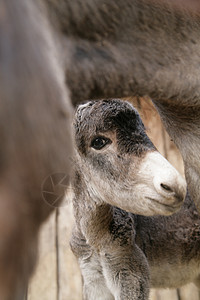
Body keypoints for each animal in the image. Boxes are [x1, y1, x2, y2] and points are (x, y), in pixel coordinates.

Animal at [70, 100, 192, 300]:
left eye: (144, 132)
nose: (176, 186)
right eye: (98, 142)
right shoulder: (92, 277)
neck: (96, 240)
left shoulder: (130, 270)